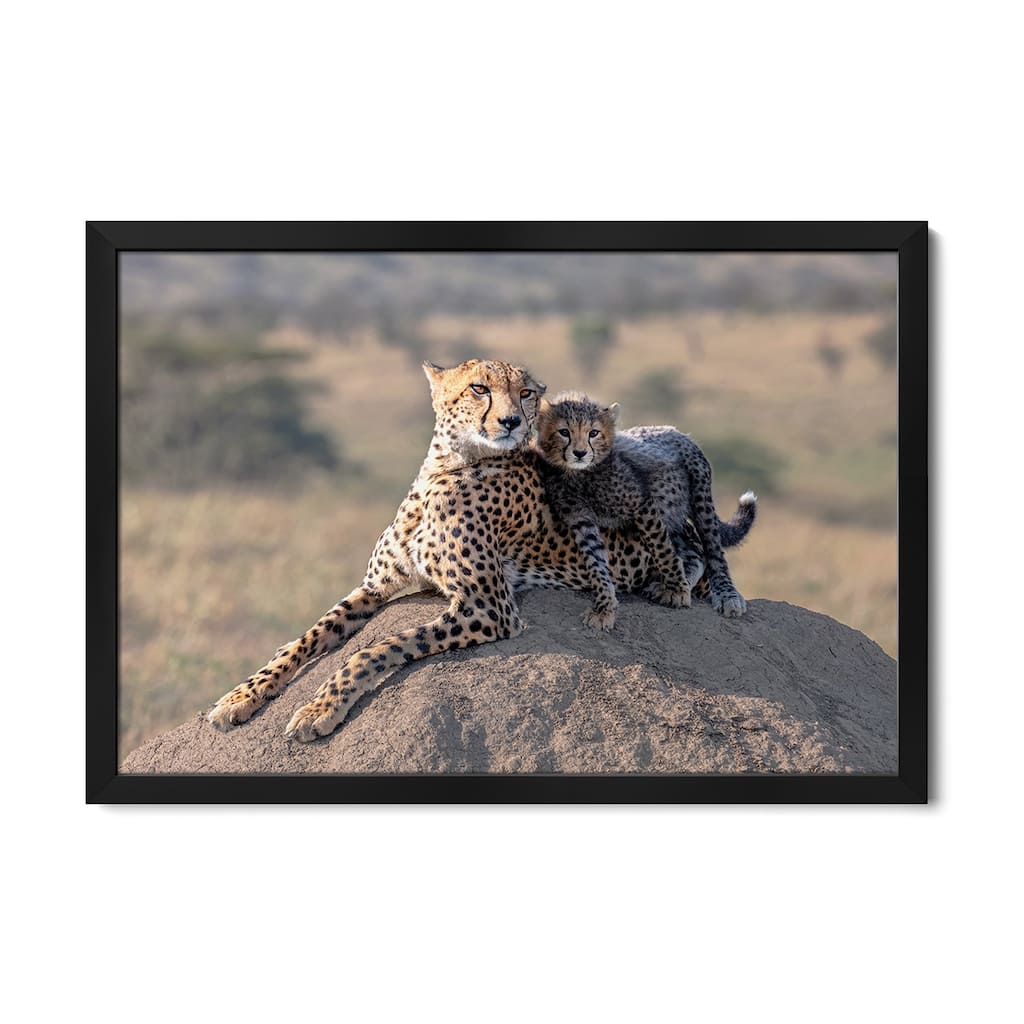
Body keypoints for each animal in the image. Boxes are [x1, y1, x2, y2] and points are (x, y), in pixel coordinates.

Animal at [207, 359, 703, 742]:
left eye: (525, 393)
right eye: (479, 388)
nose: (511, 422)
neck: (448, 466)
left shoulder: (489, 607)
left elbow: (377, 647)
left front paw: (319, 709)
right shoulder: (374, 587)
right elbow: (308, 637)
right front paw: (241, 696)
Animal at [535, 390, 757, 627]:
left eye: (593, 433)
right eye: (564, 432)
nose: (579, 453)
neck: (579, 475)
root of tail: (675, 430)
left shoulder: (642, 506)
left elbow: (663, 551)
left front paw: (678, 591)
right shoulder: (580, 520)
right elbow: (596, 564)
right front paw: (604, 608)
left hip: (699, 498)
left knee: (713, 550)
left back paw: (725, 595)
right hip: (671, 513)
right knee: (694, 553)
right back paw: (674, 583)